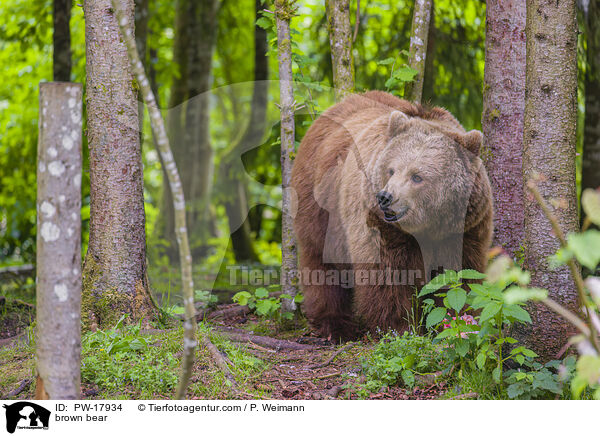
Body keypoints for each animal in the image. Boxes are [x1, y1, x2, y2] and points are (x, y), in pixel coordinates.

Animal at [290, 90, 492, 340]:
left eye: (417, 176)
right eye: (391, 170)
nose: (385, 197)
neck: (429, 228)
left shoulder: (464, 228)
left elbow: (461, 276)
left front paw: (461, 322)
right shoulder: (381, 226)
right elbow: (388, 275)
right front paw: (398, 327)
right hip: (319, 207)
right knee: (321, 263)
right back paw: (334, 324)